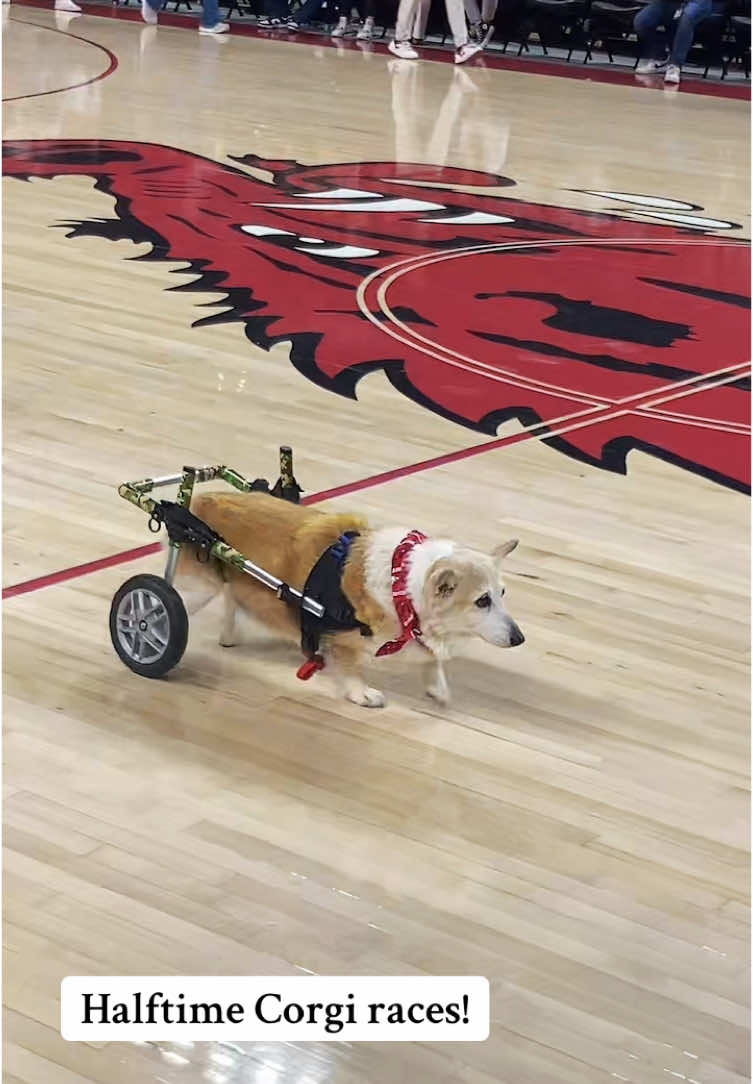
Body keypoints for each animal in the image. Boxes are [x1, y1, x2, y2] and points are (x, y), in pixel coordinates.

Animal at [177, 489, 524, 706]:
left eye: (503, 593)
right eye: (482, 600)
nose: (519, 639)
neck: (402, 586)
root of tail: (200, 501)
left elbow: (431, 657)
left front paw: (437, 688)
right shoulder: (342, 638)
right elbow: (351, 668)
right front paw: (363, 694)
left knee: (232, 599)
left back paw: (229, 635)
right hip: (197, 590)